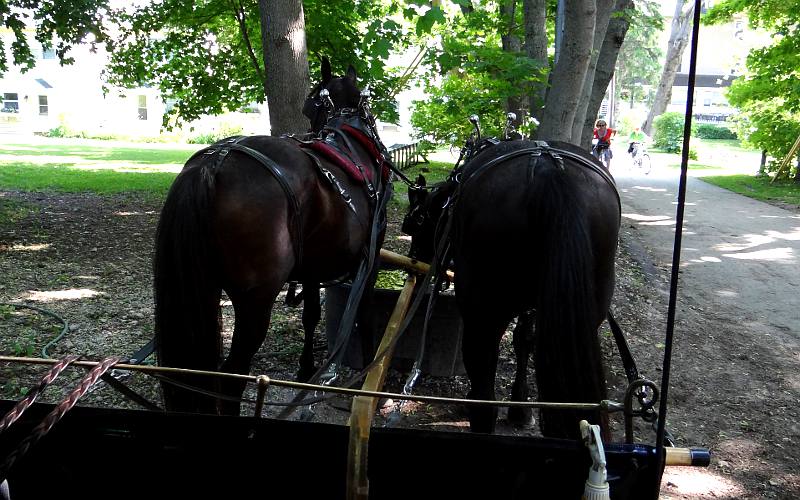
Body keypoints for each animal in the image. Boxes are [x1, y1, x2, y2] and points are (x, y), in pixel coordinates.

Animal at [153, 58, 390, 414]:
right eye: (310, 106)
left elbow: (311, 315)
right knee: (231, 376)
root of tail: (216, 160)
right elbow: (364, 313)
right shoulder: (370, 259)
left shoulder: (312, 266)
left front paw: (306, 369)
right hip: (255, 302)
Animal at [404, 140, 620, 438]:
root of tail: (550, 172)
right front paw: (521, 407)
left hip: (481, 314)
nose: (414, 263)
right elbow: (524, 340)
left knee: (484, 400)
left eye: (418, 222)